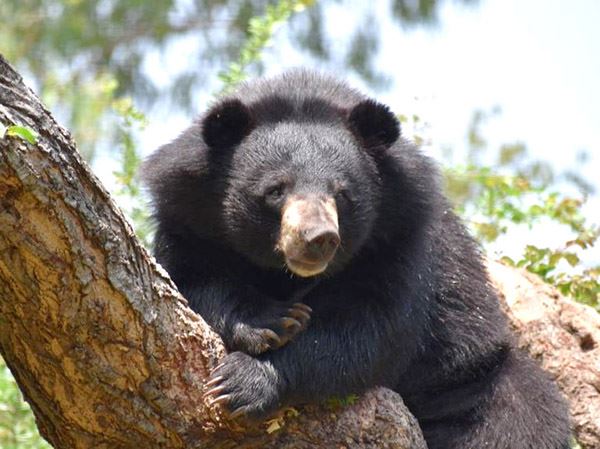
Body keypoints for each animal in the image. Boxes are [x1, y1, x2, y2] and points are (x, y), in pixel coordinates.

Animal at [142, 70, 572, 448]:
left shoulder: (400, 238)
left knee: (520, 414)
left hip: (473, 376)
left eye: (342, 194)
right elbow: (194, 280)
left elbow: (370, 329)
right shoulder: (188, 218)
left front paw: (245, 381)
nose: (318, 239)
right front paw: (272, 321)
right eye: (276, 190)